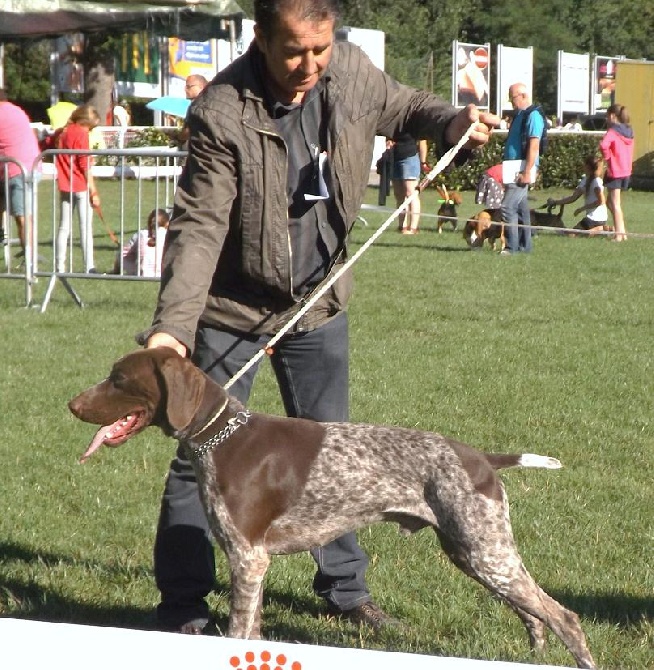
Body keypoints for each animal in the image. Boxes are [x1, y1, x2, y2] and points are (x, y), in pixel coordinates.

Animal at [69, 350, 596, 668]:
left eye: (118, 379)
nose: (71, 404)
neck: (220, 436)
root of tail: (483, 458)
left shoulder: (247, 558)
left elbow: (238, 632)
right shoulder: (252, 563)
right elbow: (252, 631)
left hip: (485, 550)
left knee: (563, 616)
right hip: (475, 553)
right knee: (534, 613)